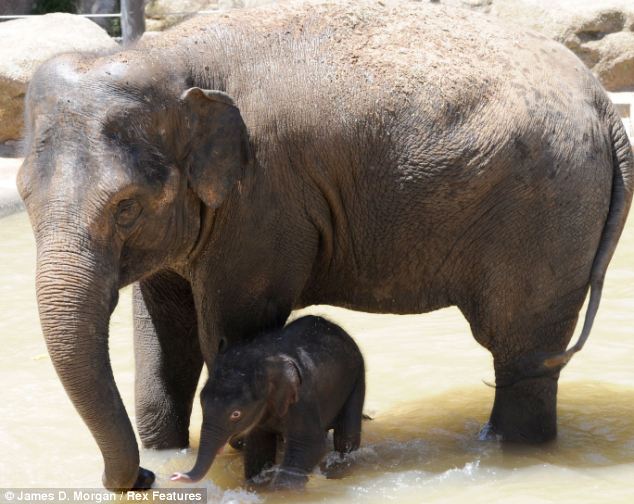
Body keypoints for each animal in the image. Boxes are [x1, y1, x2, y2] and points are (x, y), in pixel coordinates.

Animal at [170, 316, 362, 488]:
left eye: (236, 414)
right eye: (201, 403)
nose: (174, 476)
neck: (265, 360)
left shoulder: (303, 400)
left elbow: (310, 445)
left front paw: (281, 492)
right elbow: (259, 445)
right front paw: (257, 485)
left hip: (356, 378)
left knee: (346, 436)